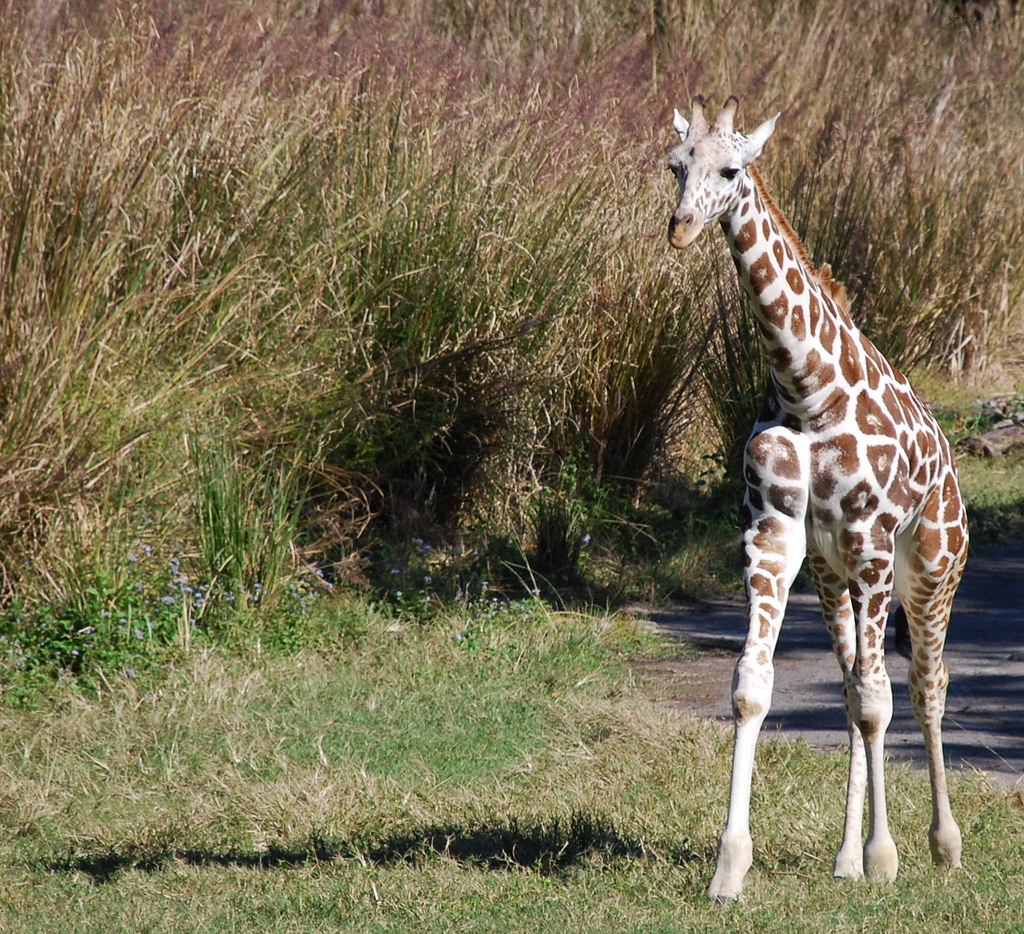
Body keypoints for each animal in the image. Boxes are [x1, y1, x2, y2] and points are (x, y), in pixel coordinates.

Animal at [665, 96, 968, 902]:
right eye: (676, 166)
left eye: (732, 170)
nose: (680, 227)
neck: (806, 388)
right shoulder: (773, 534)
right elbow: (755, 687)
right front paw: (730, 867)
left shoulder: (870, 542)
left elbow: (879, 700)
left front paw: (887, 858)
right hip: (833, 577)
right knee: (849, 686)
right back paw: (845, 859)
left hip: (930, 570)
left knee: (924, 687)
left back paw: (942, 846)